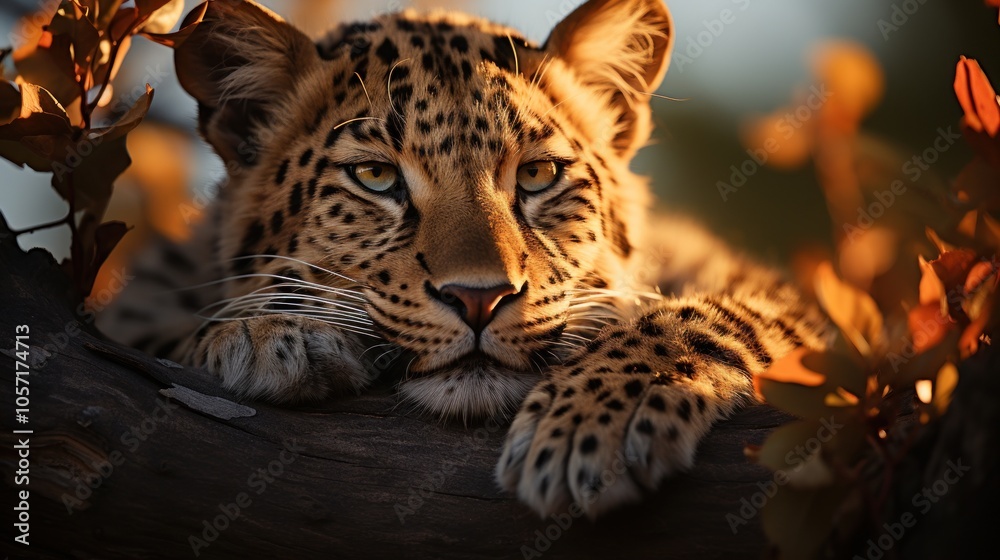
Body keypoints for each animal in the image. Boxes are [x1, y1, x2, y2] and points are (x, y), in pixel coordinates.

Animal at [98, 0, 829, 518]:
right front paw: (268, 335)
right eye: (375, 177)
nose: (481, 297)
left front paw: (596, 420)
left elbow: (702, 316)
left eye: (537, 175)